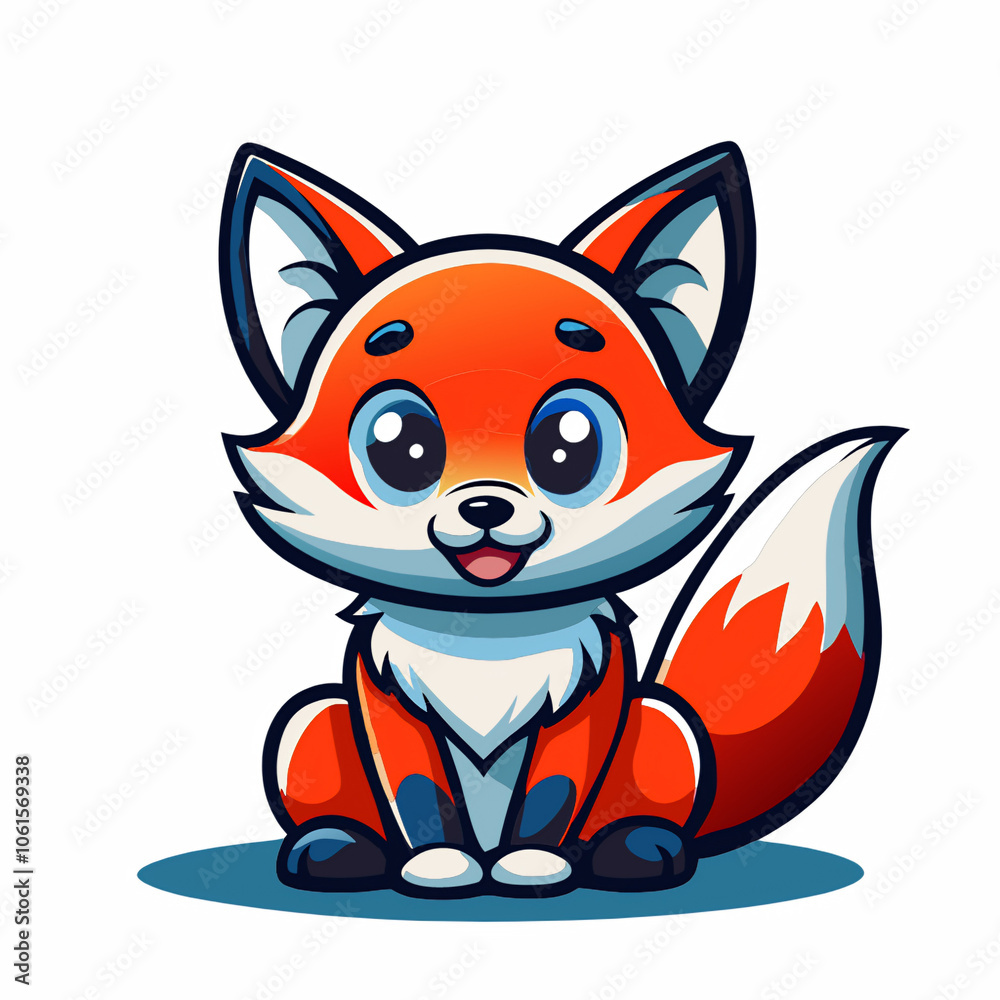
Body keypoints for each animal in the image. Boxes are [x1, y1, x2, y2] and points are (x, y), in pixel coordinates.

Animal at [217, 141, 902, 897]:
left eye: (570, 445)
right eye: (400, 446)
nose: (485, 504)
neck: (489, 638)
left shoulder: (590, 701)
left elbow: (555, 793)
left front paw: (532, 862)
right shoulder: (383, 700)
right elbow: (418, 792)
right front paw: (438, 863)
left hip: (664, 726)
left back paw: (636, 847)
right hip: (313, 720)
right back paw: (338, 846)